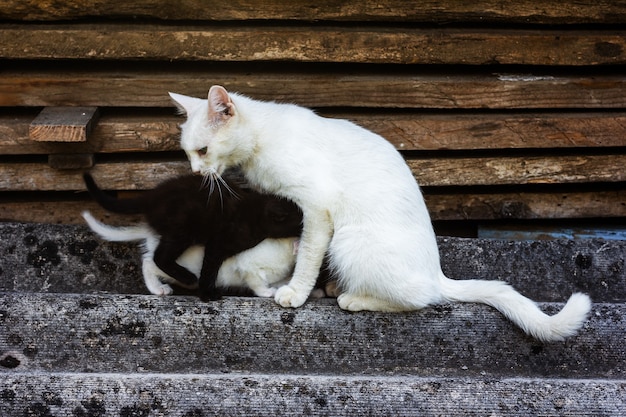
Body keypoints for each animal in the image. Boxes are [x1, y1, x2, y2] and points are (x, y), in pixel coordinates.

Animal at [81, 213, 302, 298]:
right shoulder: (248, 265)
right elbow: (256, 282)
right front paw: (267, 292)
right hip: (185, 268)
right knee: (148, 263)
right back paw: (157, 289)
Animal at [169, 85, 588, 342]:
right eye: (189, 153)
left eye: (203, 150)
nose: (195, 172)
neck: (263, 138)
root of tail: (436, 272)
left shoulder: (317, 208)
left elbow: (307, 256)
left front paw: (295, 294)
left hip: (349, 240)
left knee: (419, 299)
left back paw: (352, 298)